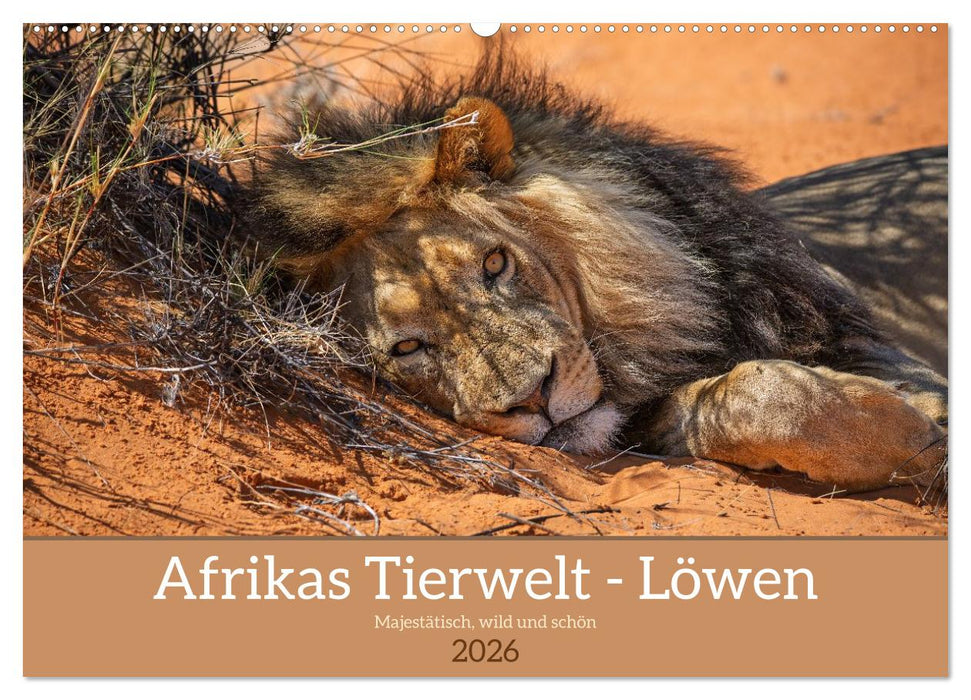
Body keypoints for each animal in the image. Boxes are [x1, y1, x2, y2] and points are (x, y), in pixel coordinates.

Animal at [250, 54, 947, 493]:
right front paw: (919, 433)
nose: (536, 398)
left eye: (495, 264)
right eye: (408, 348)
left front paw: (926, 424)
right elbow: (748, 396)